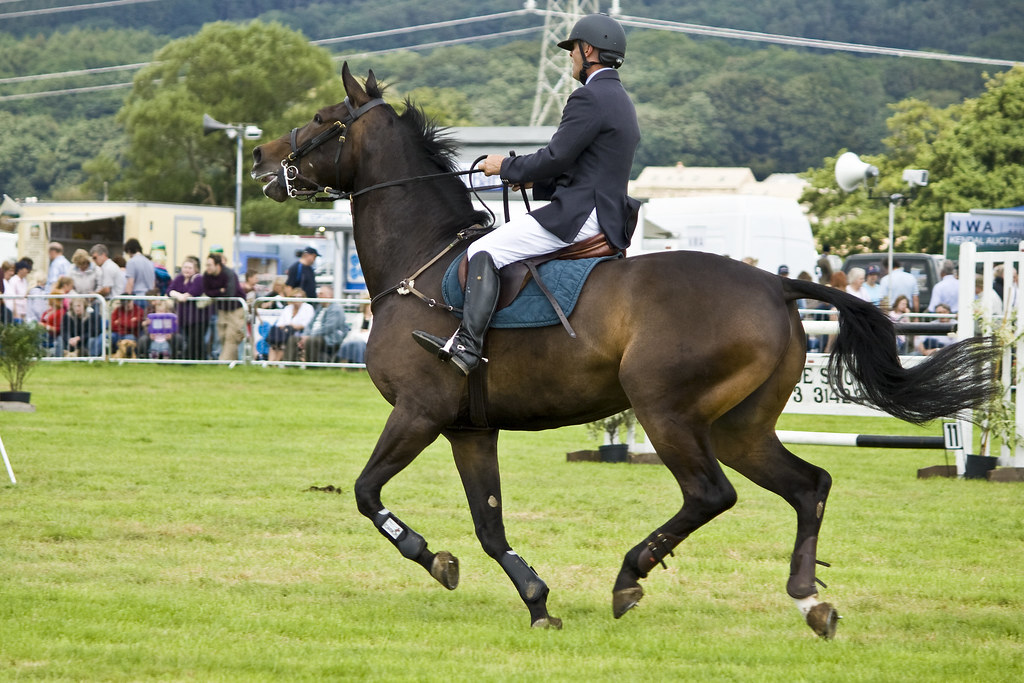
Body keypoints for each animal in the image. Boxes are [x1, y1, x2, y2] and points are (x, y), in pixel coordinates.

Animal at [250, 63, 998, 637]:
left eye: (322, 119)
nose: (259, 158)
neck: (423, 262)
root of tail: (776, 282)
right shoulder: (469, 428)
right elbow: (490, 525)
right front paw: (536, 602)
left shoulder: (419, 411)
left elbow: (366, 491)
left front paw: (433, 557)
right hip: (740, 427)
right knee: (808, 485)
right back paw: (810, 601)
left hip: (668, 412)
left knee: (710, 493)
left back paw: (629, 577)